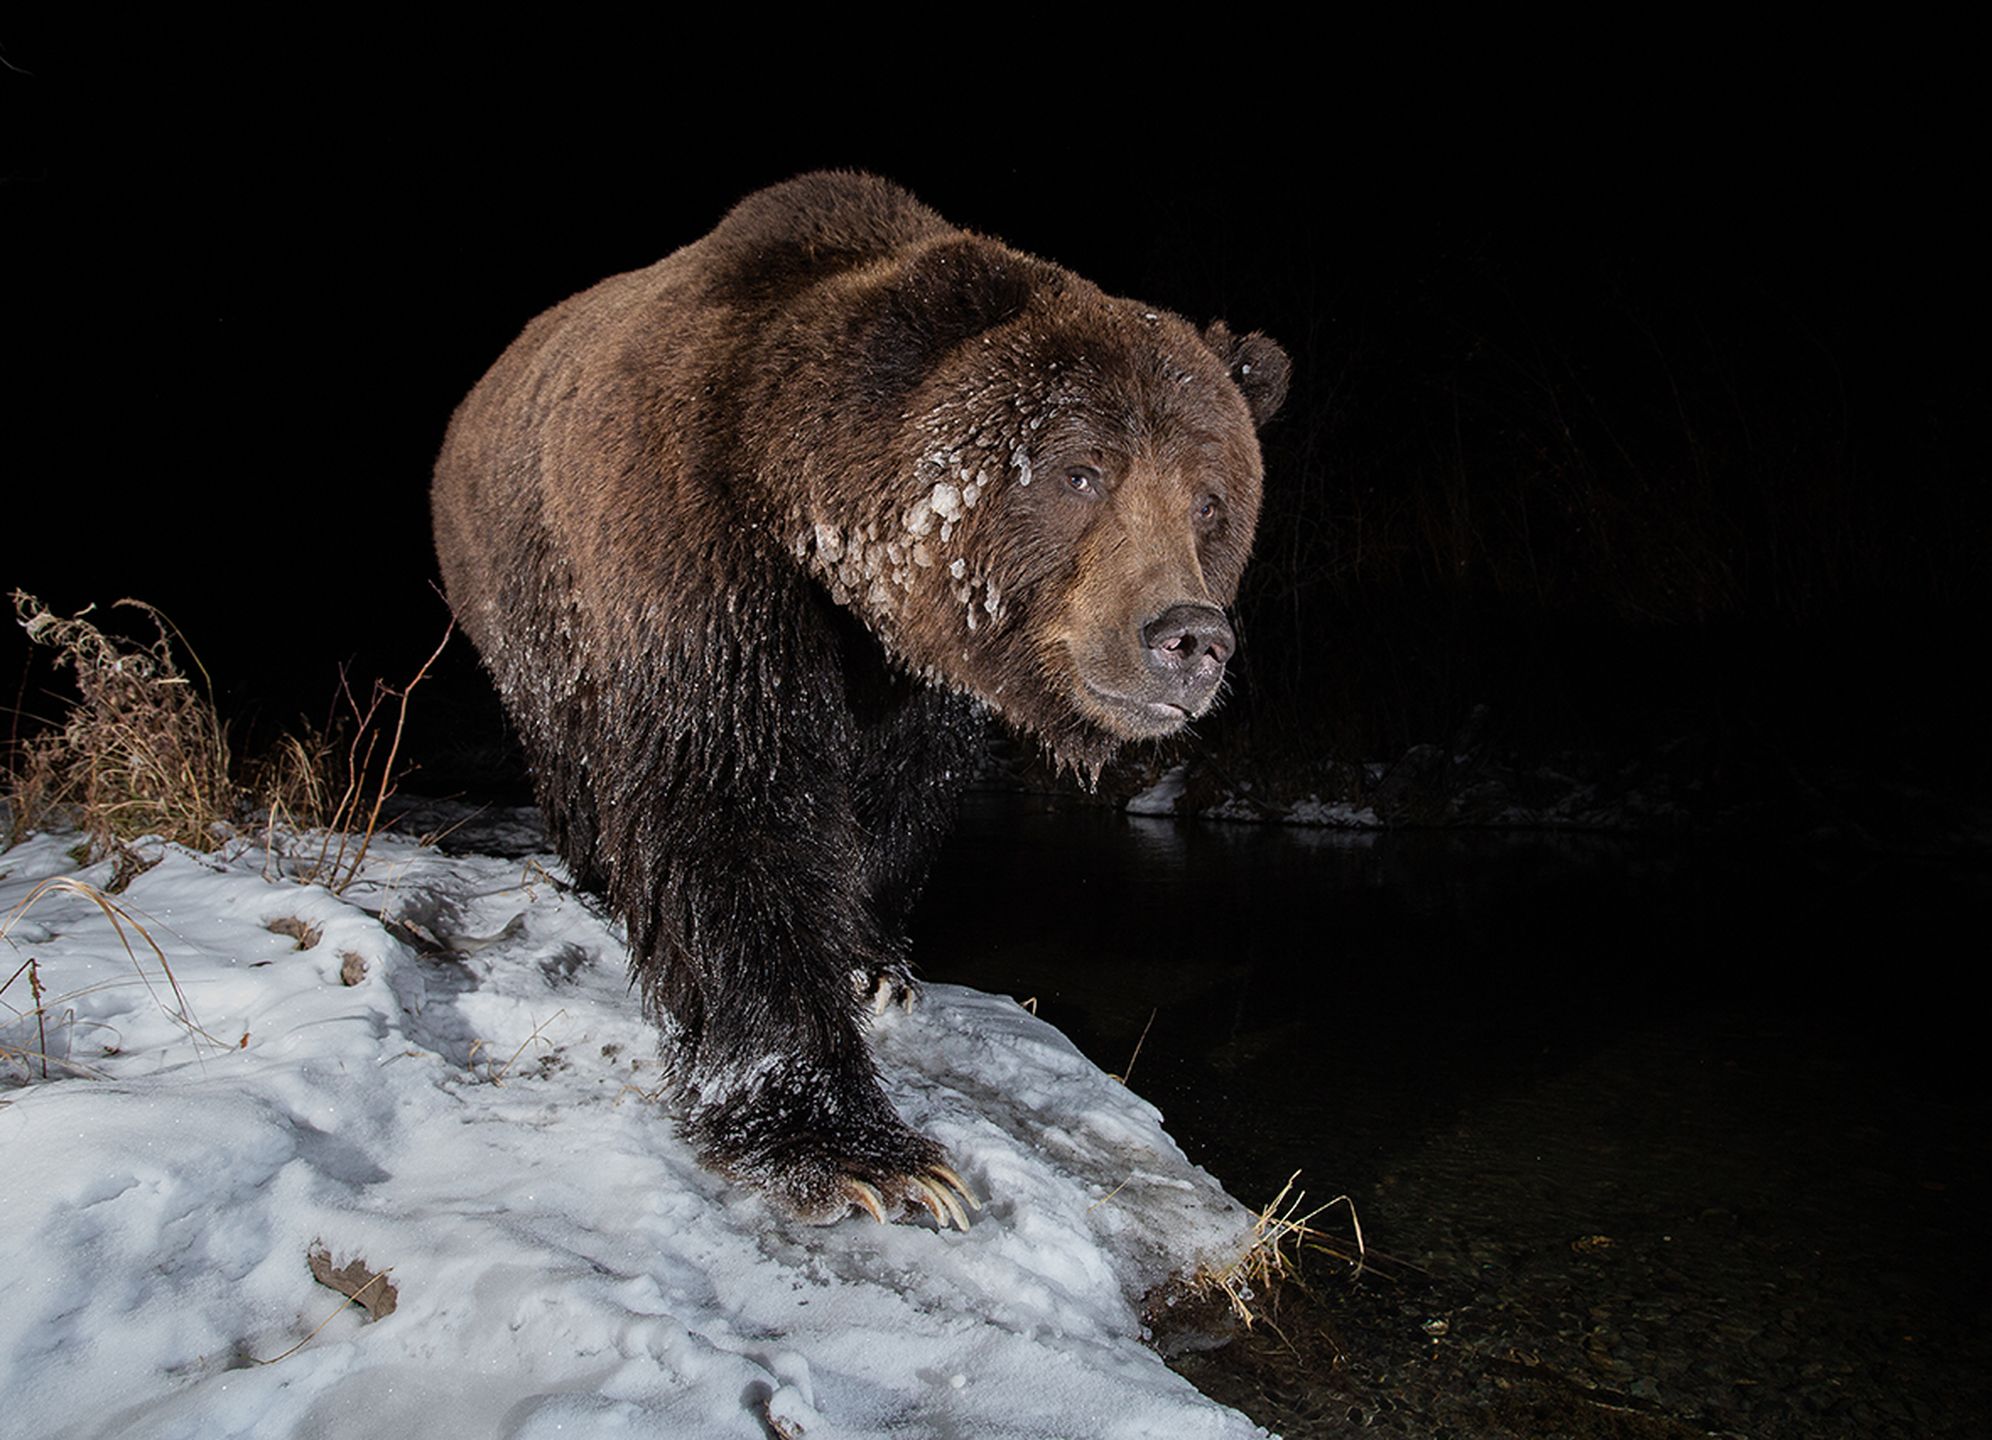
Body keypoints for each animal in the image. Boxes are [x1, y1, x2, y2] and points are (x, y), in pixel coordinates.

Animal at [428, 169, 1282, 1226]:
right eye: (1082, 471)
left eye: (1210, 499)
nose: (1188, 638)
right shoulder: (697, 550)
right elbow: (730, 802)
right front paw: (859, 1152)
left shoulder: (917, 664)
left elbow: (899, 796)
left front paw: (873, 965)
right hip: (526, 594)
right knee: (570, 746)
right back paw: (595, 877)